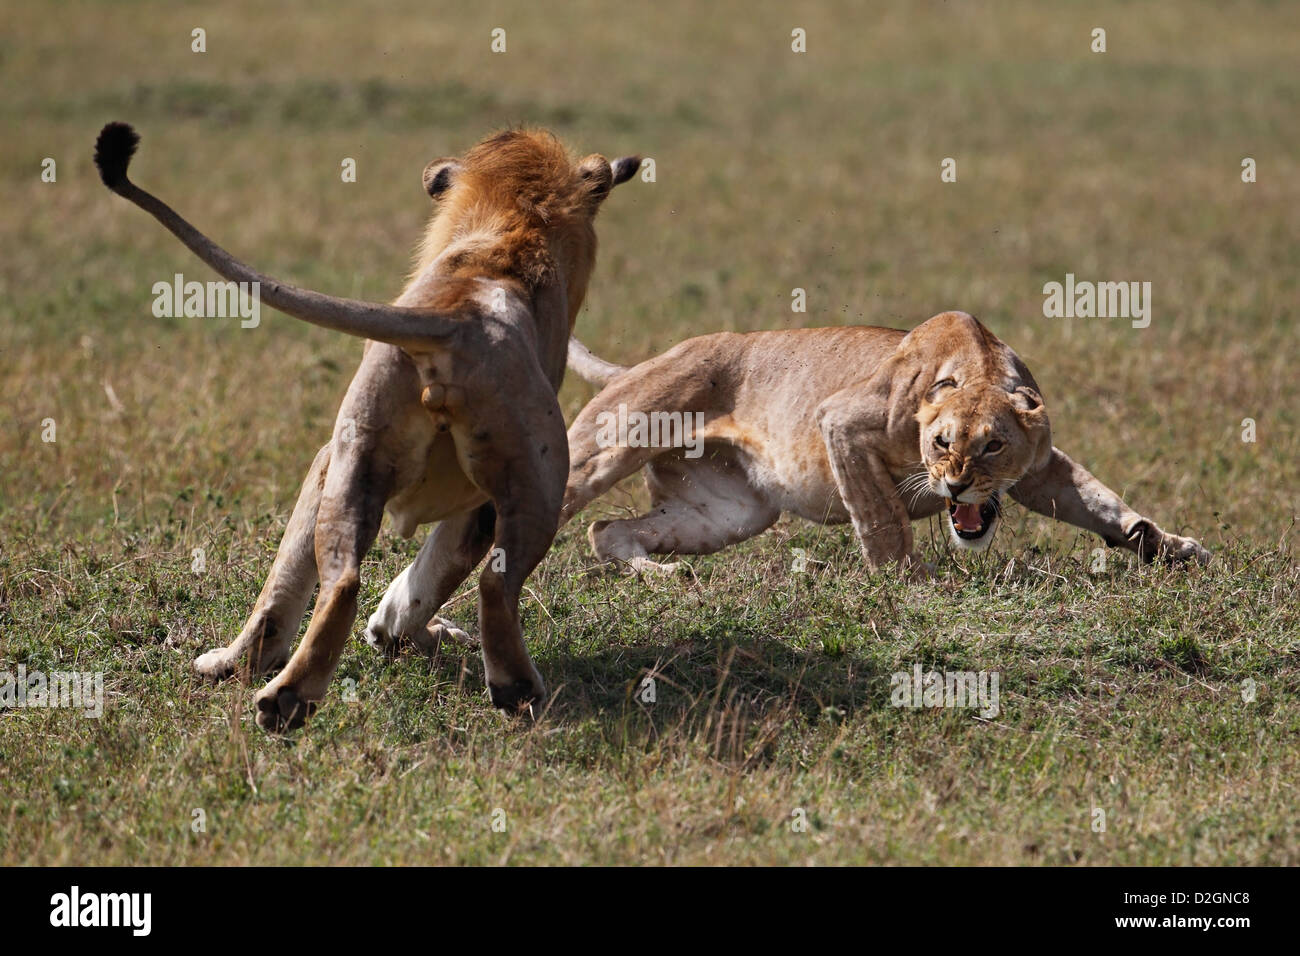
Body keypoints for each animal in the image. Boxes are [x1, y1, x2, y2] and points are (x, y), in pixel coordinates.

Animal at [94, 121, 640, 731]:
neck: (509, 231)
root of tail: (460, 319)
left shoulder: (339, 463)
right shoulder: (468, 499)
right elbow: (429, 577)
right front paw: (401, 632)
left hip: (360, 458)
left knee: (344, 581)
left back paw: (285, 698)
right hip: (522, 477)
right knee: (492, 583)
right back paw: (511, 686)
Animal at [559, 311, 1209, 574]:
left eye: (992, 447)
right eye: (941, 443)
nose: (957, 484)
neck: (977, 366)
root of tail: (642, 363)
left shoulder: (1041, 465)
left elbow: (1098, 498)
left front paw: (1165, 544)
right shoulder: (840, 420)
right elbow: (882, 516)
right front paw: (906, 578)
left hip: (727, 514)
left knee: (606, 530)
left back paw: (664, 576)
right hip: (611, 442)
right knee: (569, 495)